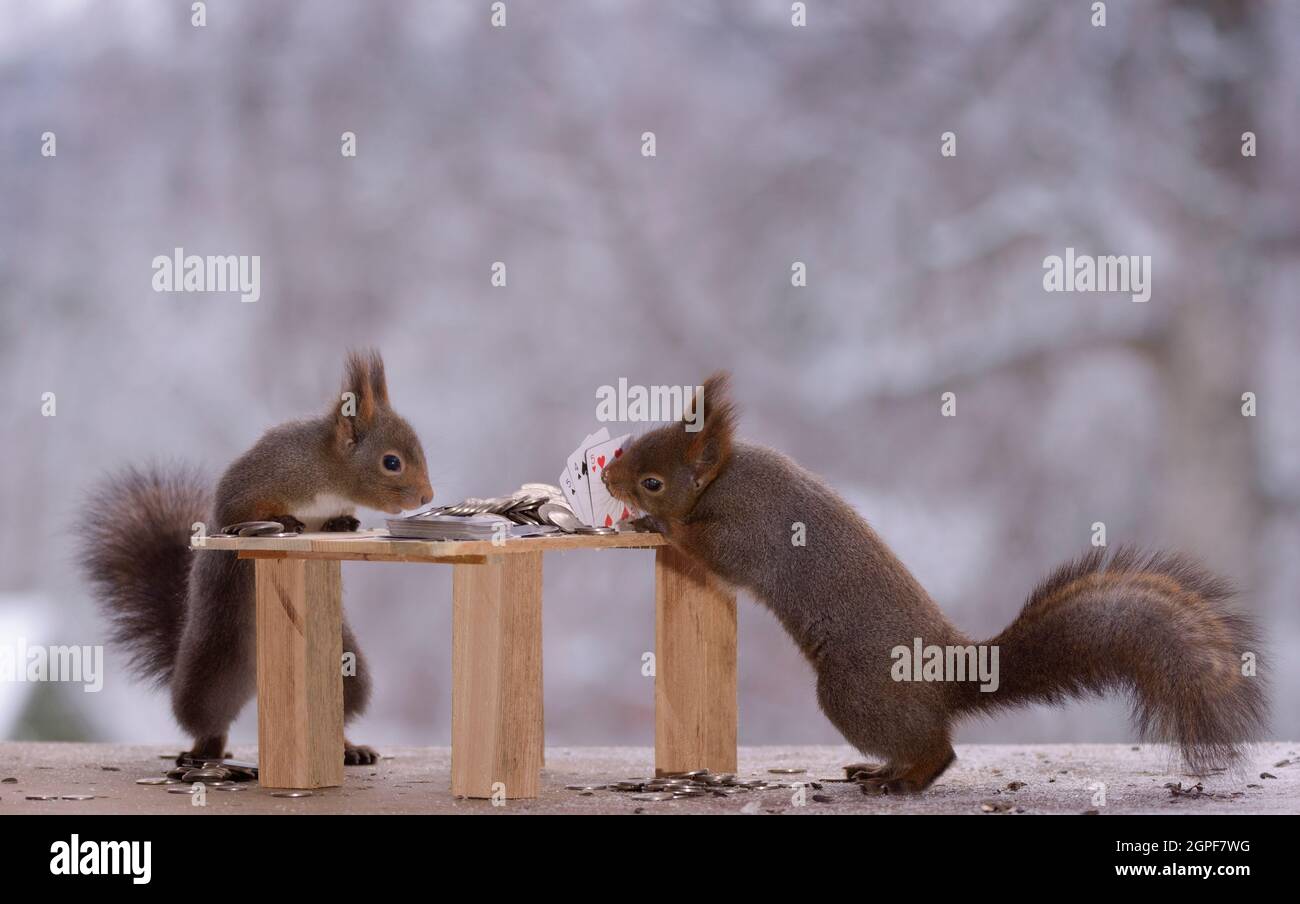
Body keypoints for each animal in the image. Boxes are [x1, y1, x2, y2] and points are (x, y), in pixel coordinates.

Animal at [82, 350, 434, 765]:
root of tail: (255, 679)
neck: (327, 473)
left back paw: (349, 748)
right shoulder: (259, 477)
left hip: (346, 667)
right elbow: (236, 513)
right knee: (209, 719)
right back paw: (201, 754)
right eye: (391, 462)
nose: (427, 497)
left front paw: (342, 522)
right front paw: (282, 521)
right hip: (212, 662)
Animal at [603, 372, 1268, 792]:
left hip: (854, 692)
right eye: (638, 440)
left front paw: (657, 523)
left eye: (654, 480)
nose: (608, 477)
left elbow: (713, 551)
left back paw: (903, 780)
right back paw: (879, 771)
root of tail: (948, 672)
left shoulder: (750, 529)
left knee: (937, 749)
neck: (723, 480)